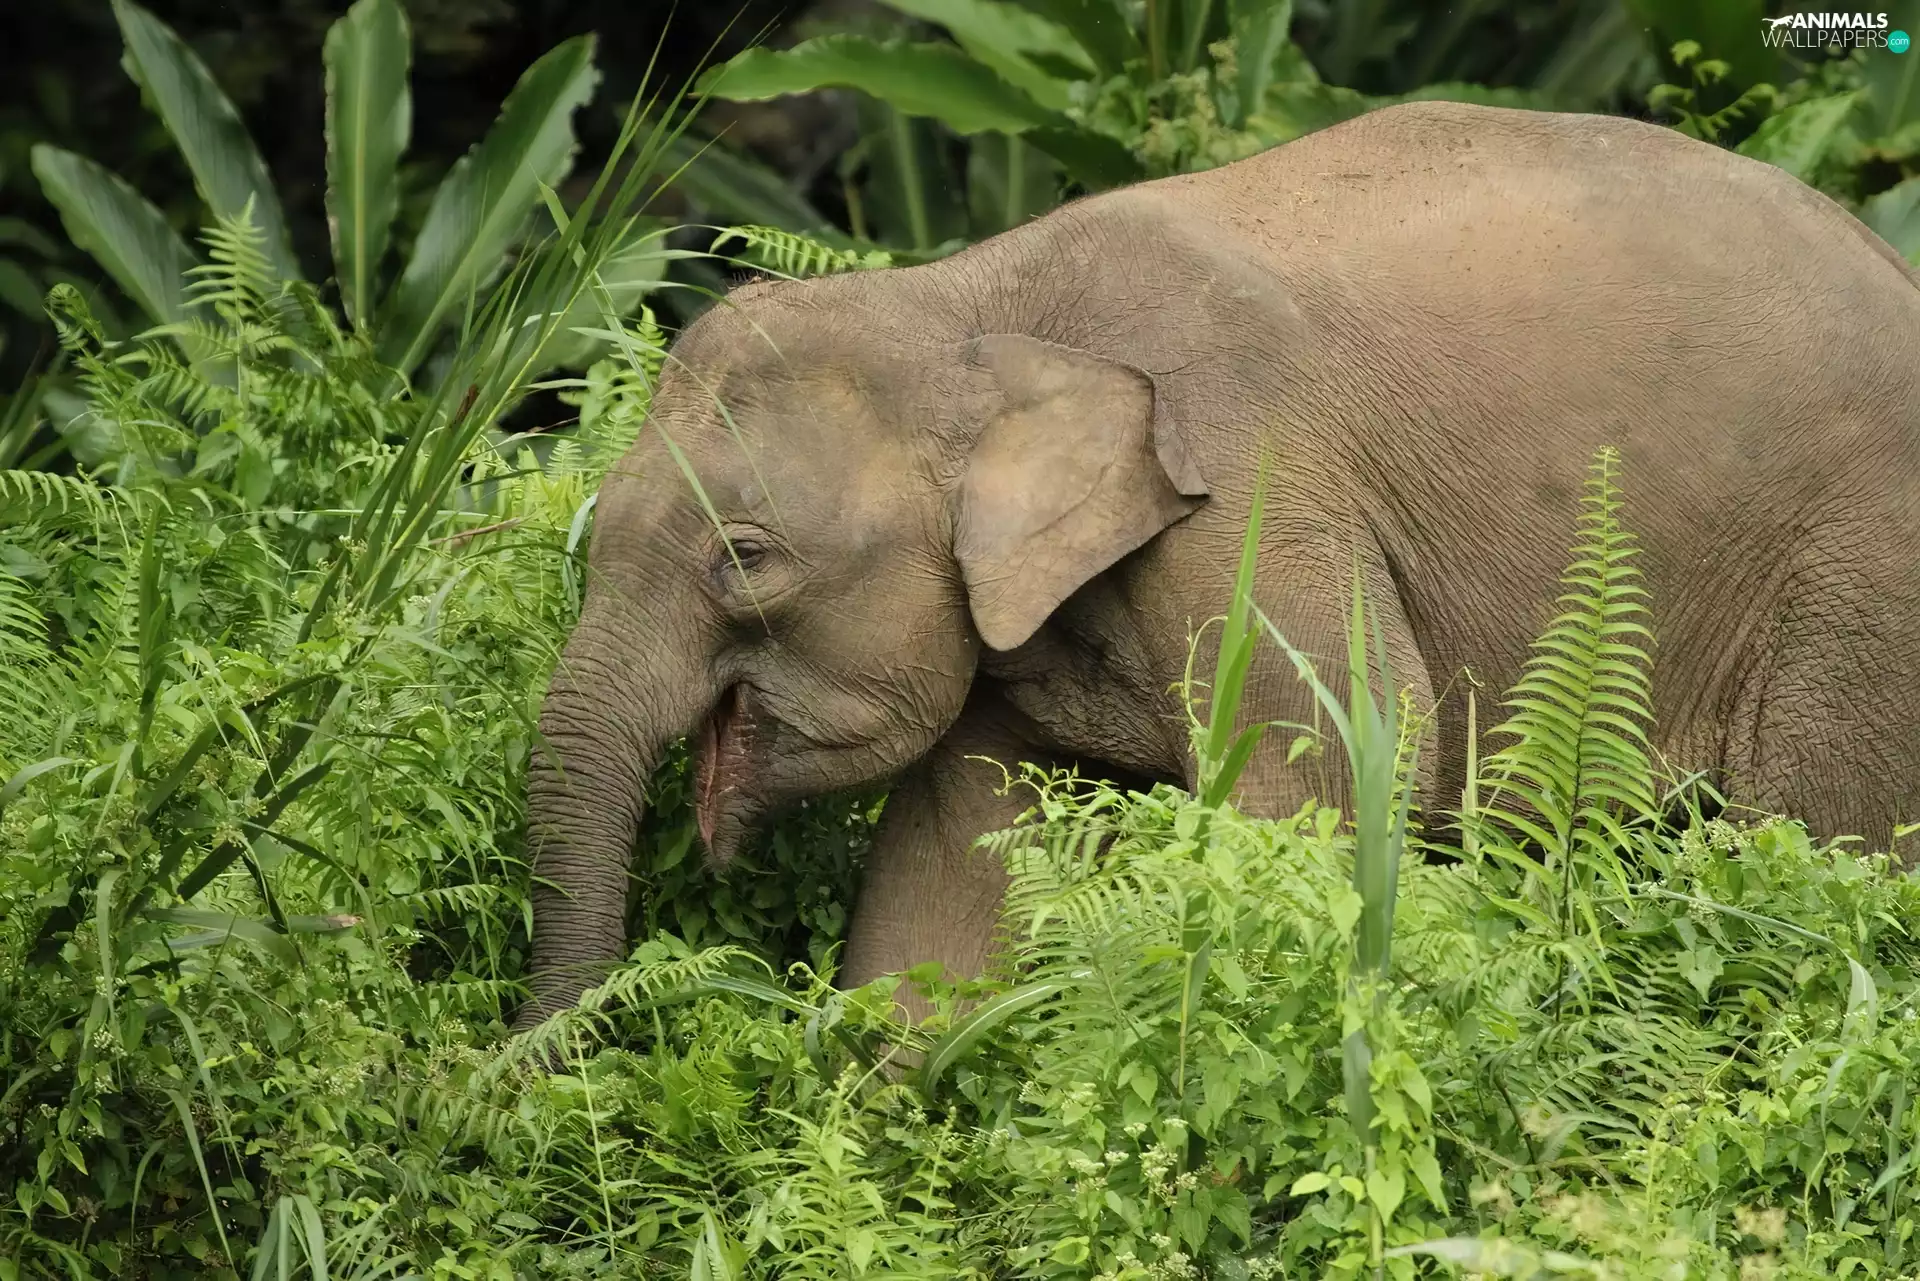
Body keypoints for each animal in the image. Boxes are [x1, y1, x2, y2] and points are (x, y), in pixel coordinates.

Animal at [515, 100, 1920, 1026]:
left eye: (745, 558)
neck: (969, 297)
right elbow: (953, 869)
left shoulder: (1248, 489)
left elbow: (1340, 760)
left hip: (1863, 577)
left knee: (1830, 841)